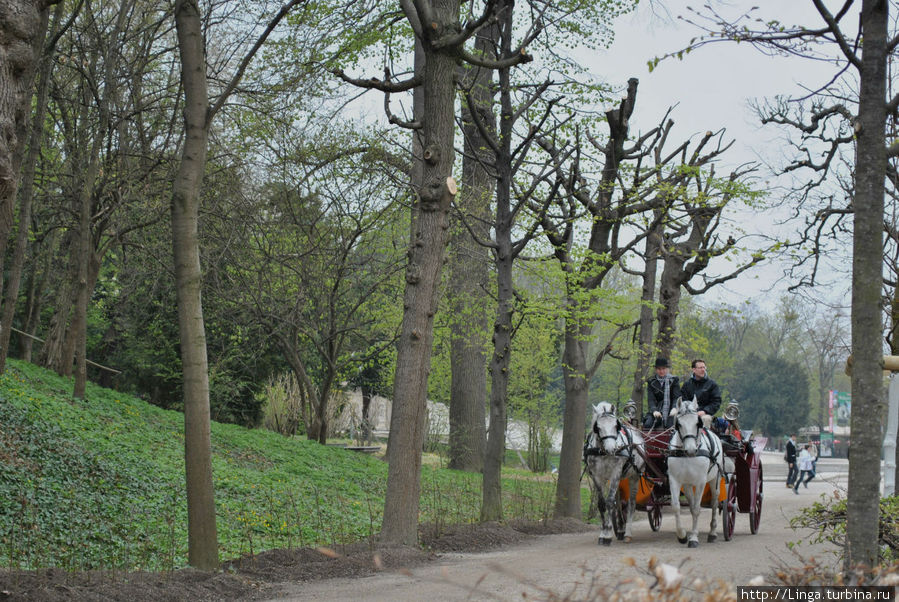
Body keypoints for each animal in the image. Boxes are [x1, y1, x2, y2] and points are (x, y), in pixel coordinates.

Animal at [588, 398, 644, 544]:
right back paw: (620, 528)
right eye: (598, 427)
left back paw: (628, 533)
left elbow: (609, 502)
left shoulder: (615, 473)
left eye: (615, 426)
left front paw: (607, 535)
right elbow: (602, 504)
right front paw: (603, 532)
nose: (612, 449)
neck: (602, 452)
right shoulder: (597, 476)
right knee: (619, 503)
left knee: (631, 503)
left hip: (634, 476)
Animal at [668, 396, 724, 548]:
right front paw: (682, 535)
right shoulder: (675, 480)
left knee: (714, 503)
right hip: (688, 485)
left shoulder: (700, 482)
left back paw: (712, 533)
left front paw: (693, 538)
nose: (691, 450)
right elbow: (676, 507)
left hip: (715, 480)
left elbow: (697, 509)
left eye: (697, 423)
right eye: (679, 424)